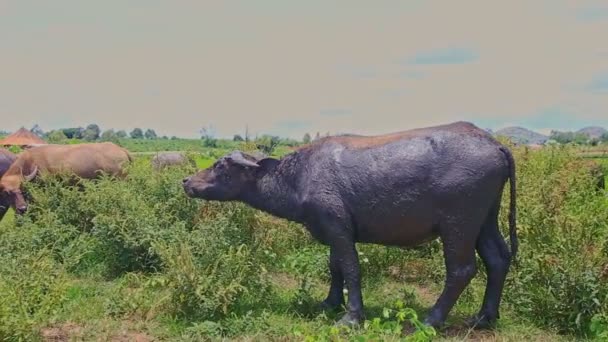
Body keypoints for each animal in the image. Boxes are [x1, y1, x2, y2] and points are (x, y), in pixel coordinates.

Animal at [183, 121, 516, 330]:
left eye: (220, 165)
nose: (187, 181)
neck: (298, 177)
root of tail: (494, 145)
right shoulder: (333, 232)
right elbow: (336, 269)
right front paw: (330, 303)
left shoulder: (340, 230)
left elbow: (352, 270)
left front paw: (352, 317)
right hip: (485, 221)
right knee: (498, 259)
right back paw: (484, 318)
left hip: (458, 225)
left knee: (461, 270)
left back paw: (431, 319)